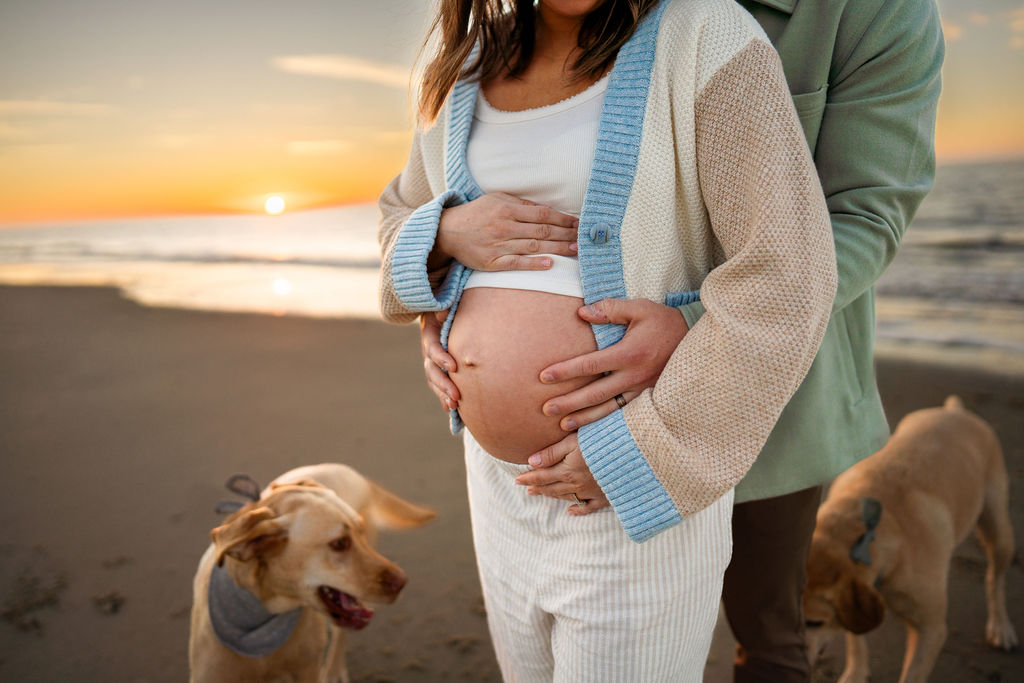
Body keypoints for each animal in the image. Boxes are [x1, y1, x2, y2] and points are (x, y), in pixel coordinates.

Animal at [190, 464, 434, 683]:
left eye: (360, 531)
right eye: (339, 543)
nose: (403, 582)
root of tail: (346, 469)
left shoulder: (307, 670)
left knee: (340, 634)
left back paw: (333, 671)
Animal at [806, 395, 1015, 683]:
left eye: (814, 623)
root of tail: (955, 410)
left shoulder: (931, 631)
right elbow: (856, 640)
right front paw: (855, 673)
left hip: (998, 529)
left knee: (996, 578)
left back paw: (1000, 627)